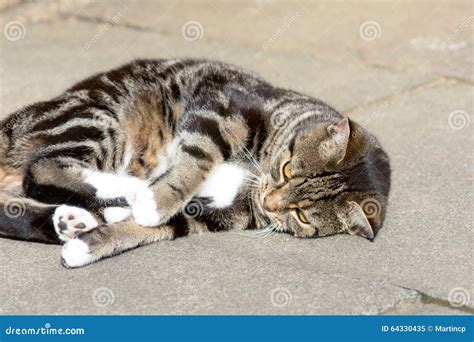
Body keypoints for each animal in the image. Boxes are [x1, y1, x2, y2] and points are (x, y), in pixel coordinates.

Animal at [0, 58, 390, 268]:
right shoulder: (221, 109)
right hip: (100, 118)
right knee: (42, 168)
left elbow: (150, 229)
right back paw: (132, 189)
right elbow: (197, 159)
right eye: (287, 168)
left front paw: (86, 246)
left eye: (303, 216)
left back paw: (72, 221)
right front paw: (153, 202)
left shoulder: (217, 214)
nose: (270, 201)